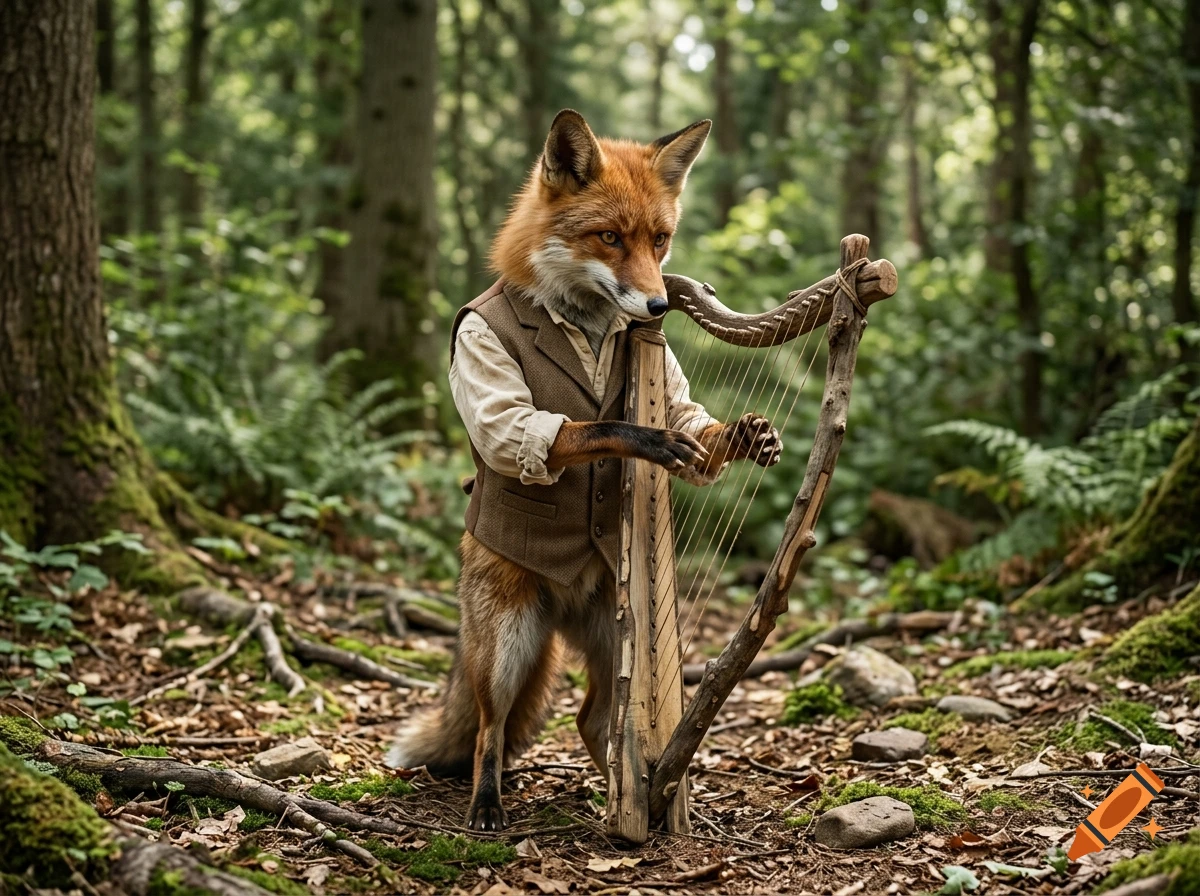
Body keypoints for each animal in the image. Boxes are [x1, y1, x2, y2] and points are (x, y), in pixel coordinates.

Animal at [387, 109, 782, 831]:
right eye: (609, 238)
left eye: (660, 240)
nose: (659, 308)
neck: (588, 325)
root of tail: (562, 605)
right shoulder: (501, 394)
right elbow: (571, 429)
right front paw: (648, 439)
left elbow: (691, 421)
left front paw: (745, 436)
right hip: (509, 647)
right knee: (489, 729)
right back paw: (491, 804)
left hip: (606, 644)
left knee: (591, 722)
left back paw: (636, 801)